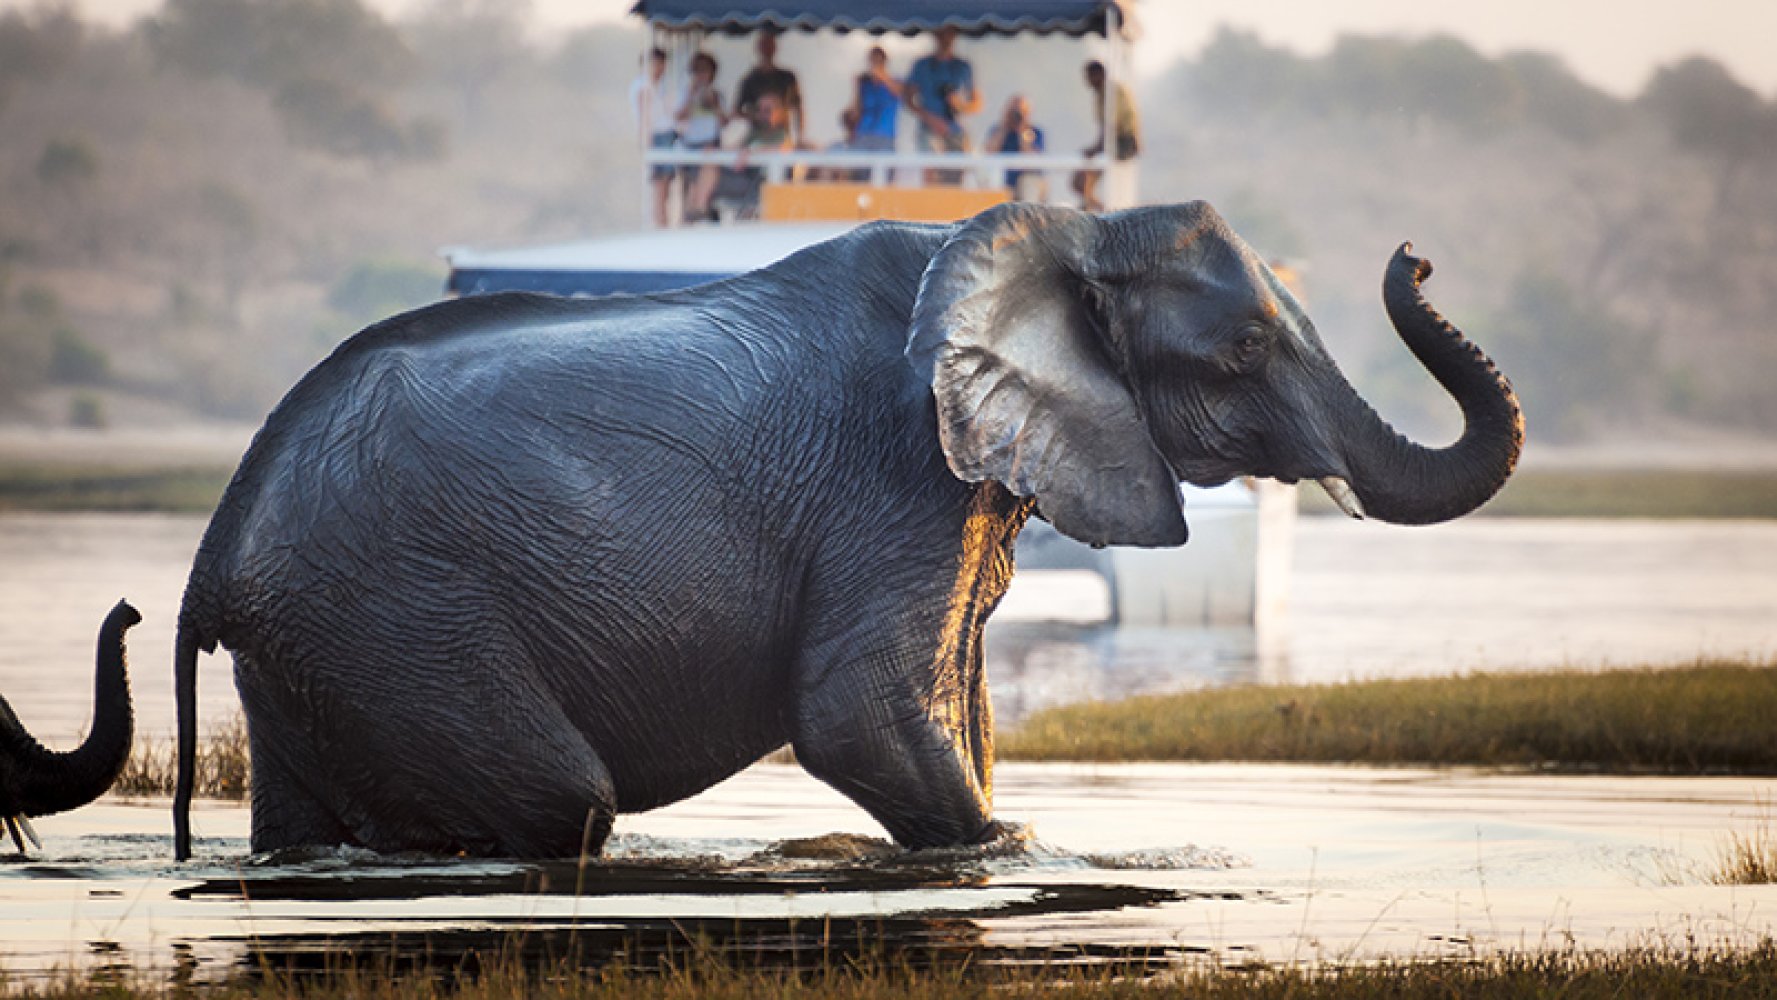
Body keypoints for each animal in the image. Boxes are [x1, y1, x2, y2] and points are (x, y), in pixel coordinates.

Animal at [170, 201, 1522, 861]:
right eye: (1242, 347)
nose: (1415, 255)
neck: (1048, 235)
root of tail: (215, 555)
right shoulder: (893, 474)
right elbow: (856, 711)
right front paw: (1013, 849)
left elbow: (956, 708)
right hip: (398, 614)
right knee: (561, 799)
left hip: (324, 647)